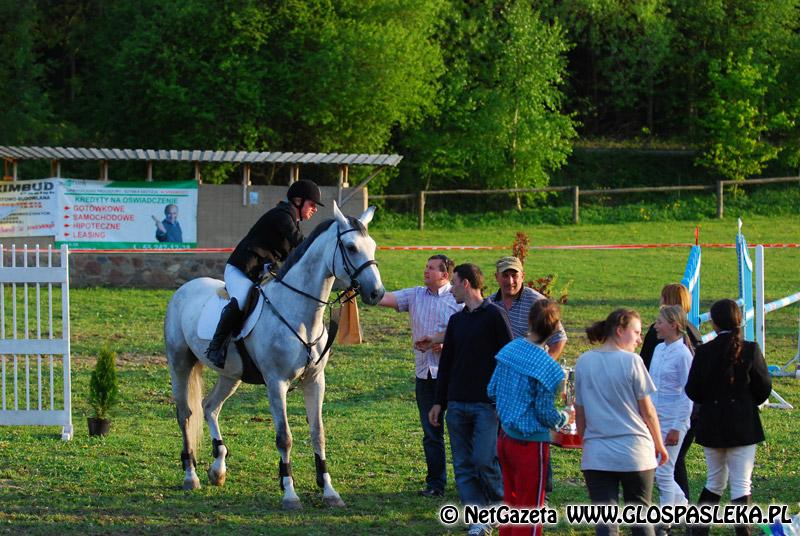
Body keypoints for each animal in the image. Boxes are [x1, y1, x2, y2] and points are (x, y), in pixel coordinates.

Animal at [165, 203, 384, 508]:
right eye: (351, 247)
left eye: (372, 246)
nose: (377, 293)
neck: (300, 314)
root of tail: (185, 288)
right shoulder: (276, 383)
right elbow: (284, 438)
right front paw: (290, 494)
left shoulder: (315, 381)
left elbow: (319, 434)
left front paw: (329, 491)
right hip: (180, 363)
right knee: (185, 414)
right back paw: (191, 476)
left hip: (231, 375)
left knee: (210, 407)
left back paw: (218, 468)